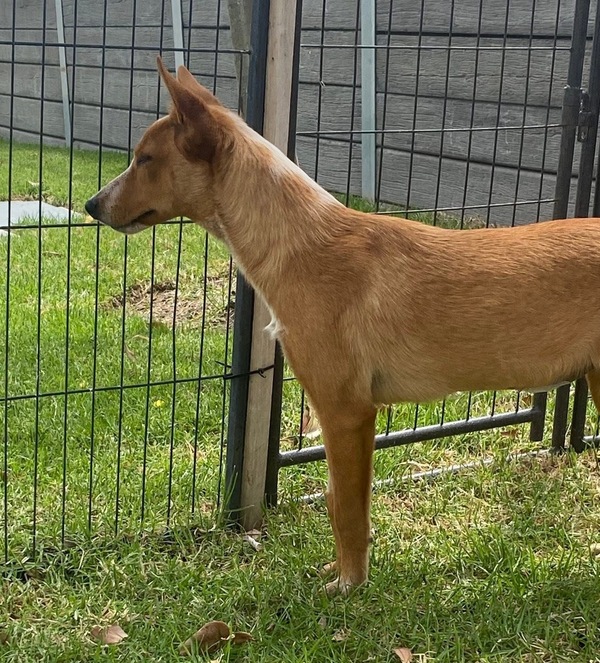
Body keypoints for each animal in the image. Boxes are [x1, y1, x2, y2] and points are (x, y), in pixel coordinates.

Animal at [86, 57, 600, 595]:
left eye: (145, 159)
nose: (91, 206)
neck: (300, 242)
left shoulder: (346, 410)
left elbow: (348, 509)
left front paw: (349, 584)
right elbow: (338, 500)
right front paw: (339, 571)